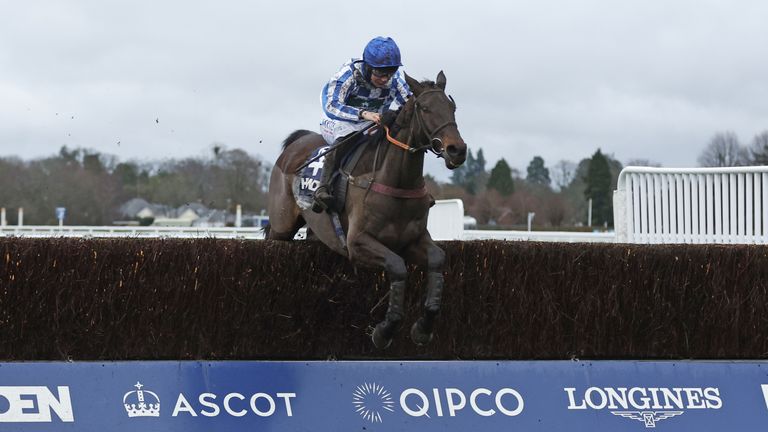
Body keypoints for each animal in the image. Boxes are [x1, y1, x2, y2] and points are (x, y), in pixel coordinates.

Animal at [264, 71, 468, 348]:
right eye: (425, 108)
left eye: (451, 108)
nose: (457, 150)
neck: (395, 181)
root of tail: (296, 144)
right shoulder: (358, 243)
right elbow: (397, 266)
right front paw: (385, 330)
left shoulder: (414, 239)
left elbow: (438, 258)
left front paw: (423, 327)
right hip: (282, 226)